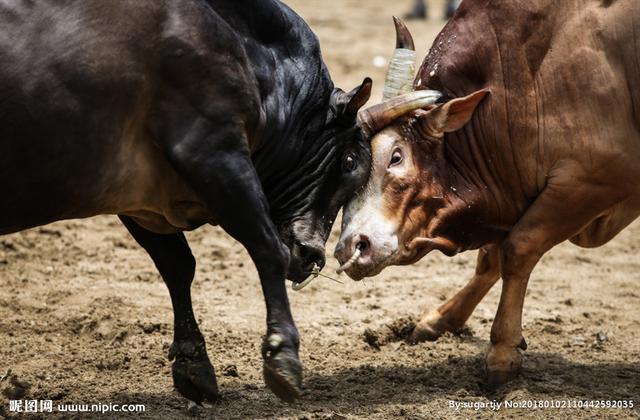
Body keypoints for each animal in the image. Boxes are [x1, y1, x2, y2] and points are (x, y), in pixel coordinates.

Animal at [0, 0, 372, 402]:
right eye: (349, 162)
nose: (312, 255)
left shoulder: (139, 200)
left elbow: (177, 265)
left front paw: (193, 363)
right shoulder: (213, 152)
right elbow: (267, 249)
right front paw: (282, 354)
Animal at [336, 0, 640, 388]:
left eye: (396, 156)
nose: (349, 248)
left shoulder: (589, 181)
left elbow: (517, 249)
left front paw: (502, 353)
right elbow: (490, 258)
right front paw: (440, 319)